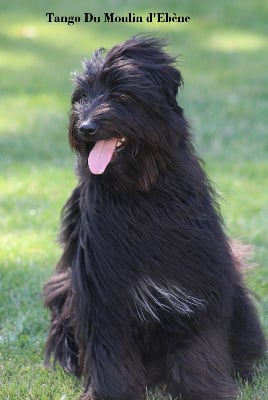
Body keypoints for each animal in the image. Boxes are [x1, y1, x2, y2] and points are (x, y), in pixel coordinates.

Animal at [44, 36, 266, 398]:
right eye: (82, 97)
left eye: (120, 93)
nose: (86, 127)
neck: (139, 192)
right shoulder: (103, 287)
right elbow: (110, 351)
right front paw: (112, 392)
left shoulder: (196, 281)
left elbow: (198, 348)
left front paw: (204, 389)